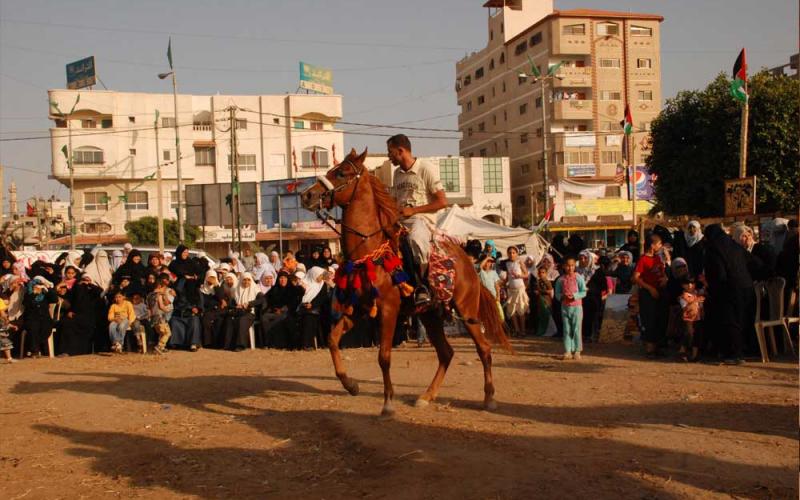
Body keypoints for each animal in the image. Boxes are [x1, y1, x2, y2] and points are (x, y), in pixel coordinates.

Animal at [300, 148, 512, 418]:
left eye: (342, 173)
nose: (307, 195)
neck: (369, 253)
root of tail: (467, 263)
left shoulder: (388, 311)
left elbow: (384, 356)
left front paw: (388, 403)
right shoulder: (356, 310)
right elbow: (332, 341)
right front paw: (351, 385)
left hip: (467, 311)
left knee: (483, 349)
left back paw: (489, 398)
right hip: (430, 315)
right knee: (446, 353)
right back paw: (426, 396)